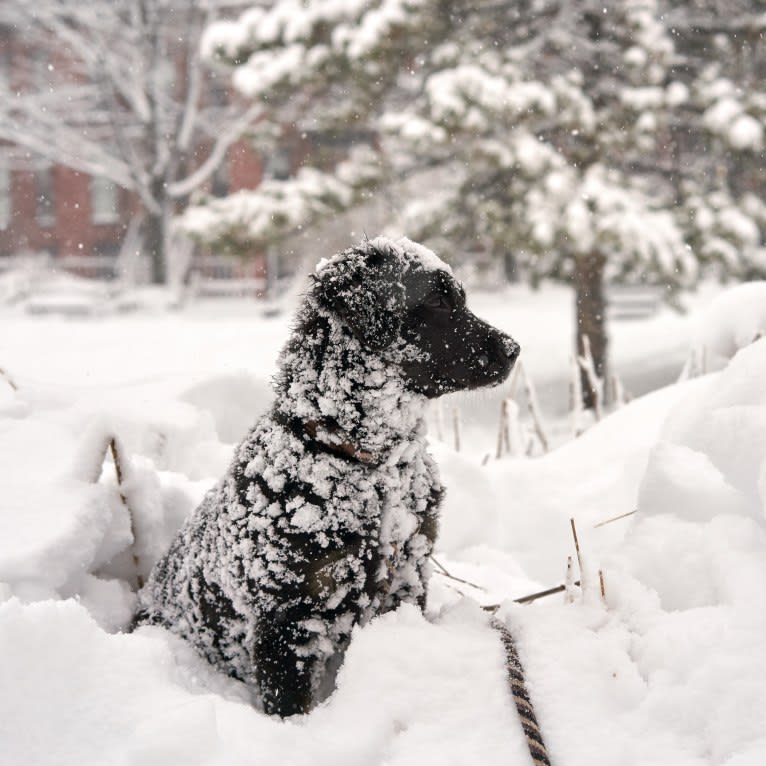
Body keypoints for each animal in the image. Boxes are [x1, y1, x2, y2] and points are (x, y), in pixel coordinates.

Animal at [136, 236, 520, 720]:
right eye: (437, 300)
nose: (513, 348)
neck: (372, 466)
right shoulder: (287, 617)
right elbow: (290, 705)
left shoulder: (408, 575)